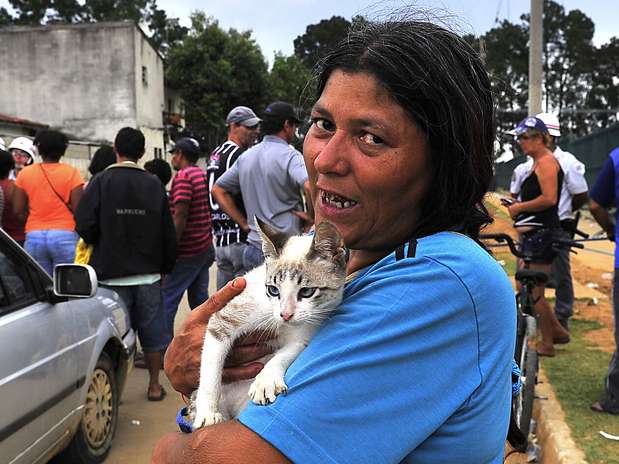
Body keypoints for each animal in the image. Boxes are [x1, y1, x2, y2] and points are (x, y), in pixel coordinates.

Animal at [191, 219, 346, 430]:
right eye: (273, 290)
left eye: (306, 292)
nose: (285, 314)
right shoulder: (223, 321)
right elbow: (211, 371)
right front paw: (207, 413)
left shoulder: (305, 334)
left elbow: (284, 354)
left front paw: (266, 382)